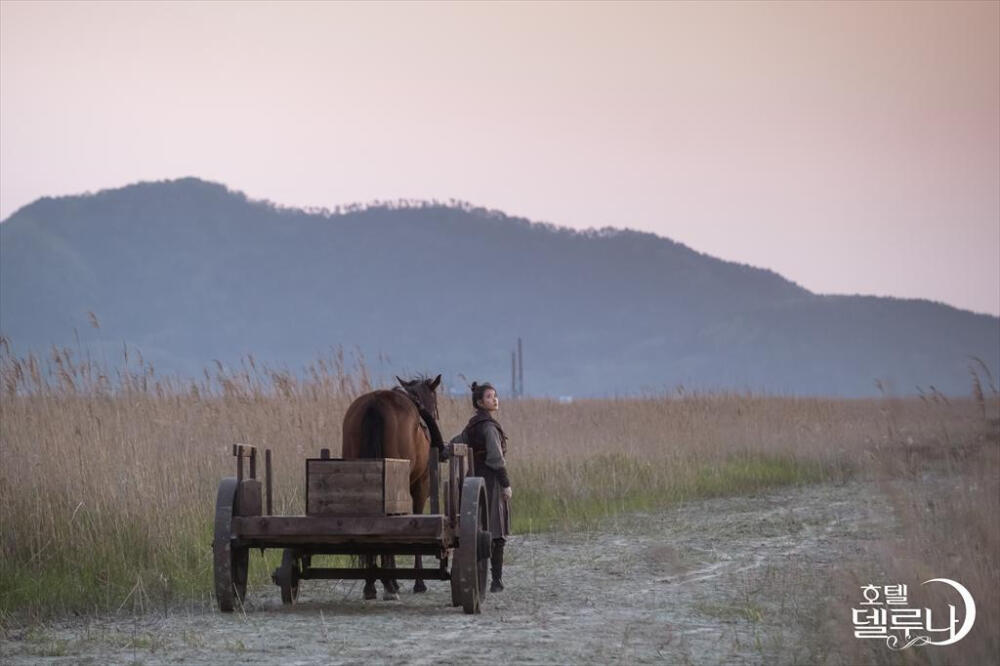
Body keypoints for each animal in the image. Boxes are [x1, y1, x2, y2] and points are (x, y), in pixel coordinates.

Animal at [340, 374, 442, 596]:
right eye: (435, 402)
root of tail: (375, 403)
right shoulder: (420, 486)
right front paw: (417, 582)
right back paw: (387, 584)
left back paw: (372, 585)